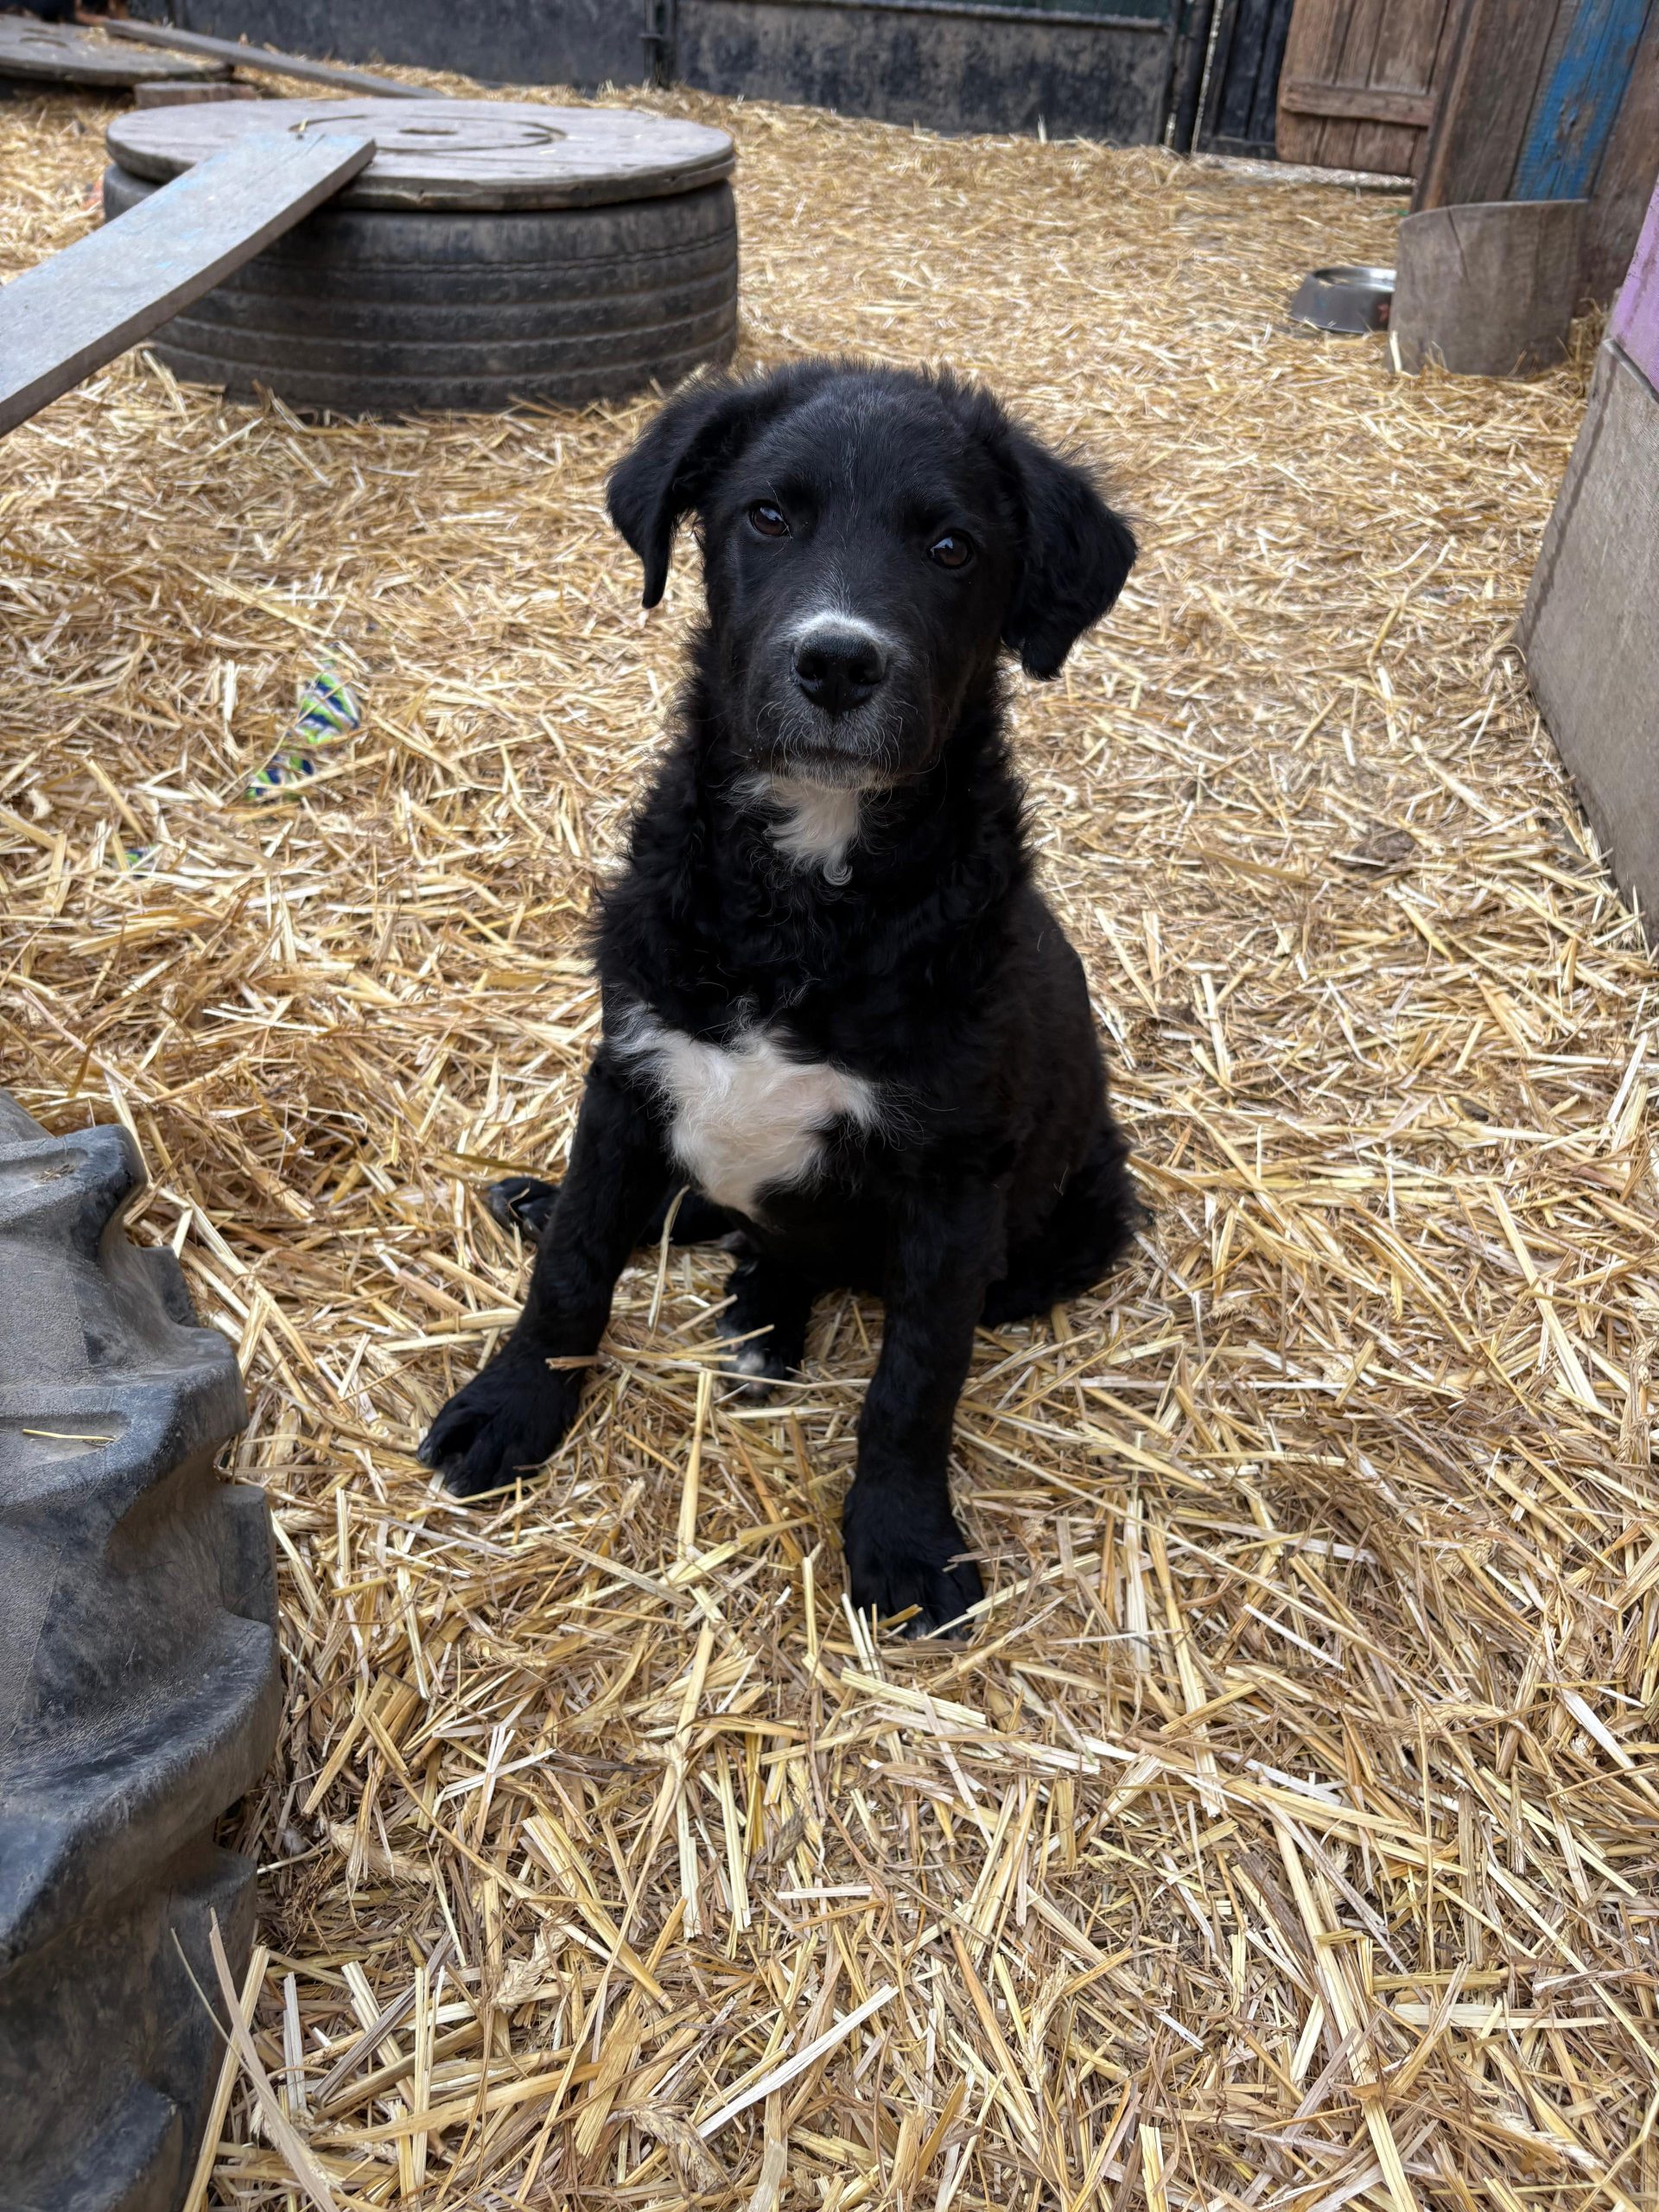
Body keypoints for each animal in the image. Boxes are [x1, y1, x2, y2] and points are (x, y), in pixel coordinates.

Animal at [419, 358, 1142, 1635]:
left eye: (952, 547)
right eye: (766, 516)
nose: (839, 664)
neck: (806, 888)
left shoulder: (953, 1180)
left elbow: (915, 1381)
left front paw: (904, 1539)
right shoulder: (630, 1068)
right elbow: (573, 1269)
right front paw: (513, 1407)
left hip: (1082, 1218)